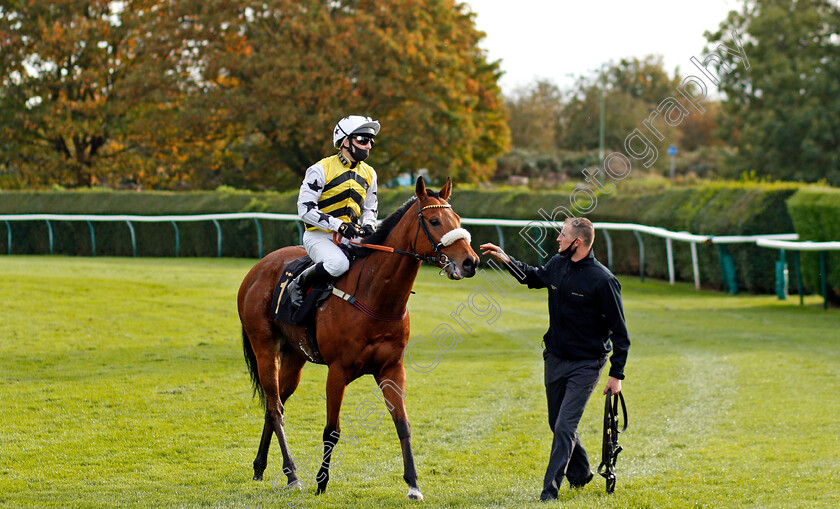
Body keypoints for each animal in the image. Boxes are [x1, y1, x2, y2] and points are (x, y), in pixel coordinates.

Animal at [236, 177, 480, 498]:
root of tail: (257, 269)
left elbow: (403, 424)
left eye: (459, 220)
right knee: (275, 409)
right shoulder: (337, 371)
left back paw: (260, 467)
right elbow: (332, 430)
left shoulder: (391, 369)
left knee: (272, 406)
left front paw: (413, 484)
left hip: (294, 357)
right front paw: (322, 482)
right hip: (264, 347)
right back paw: (293, 475)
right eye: (434, 220)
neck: (375, 297)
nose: (470, 262)